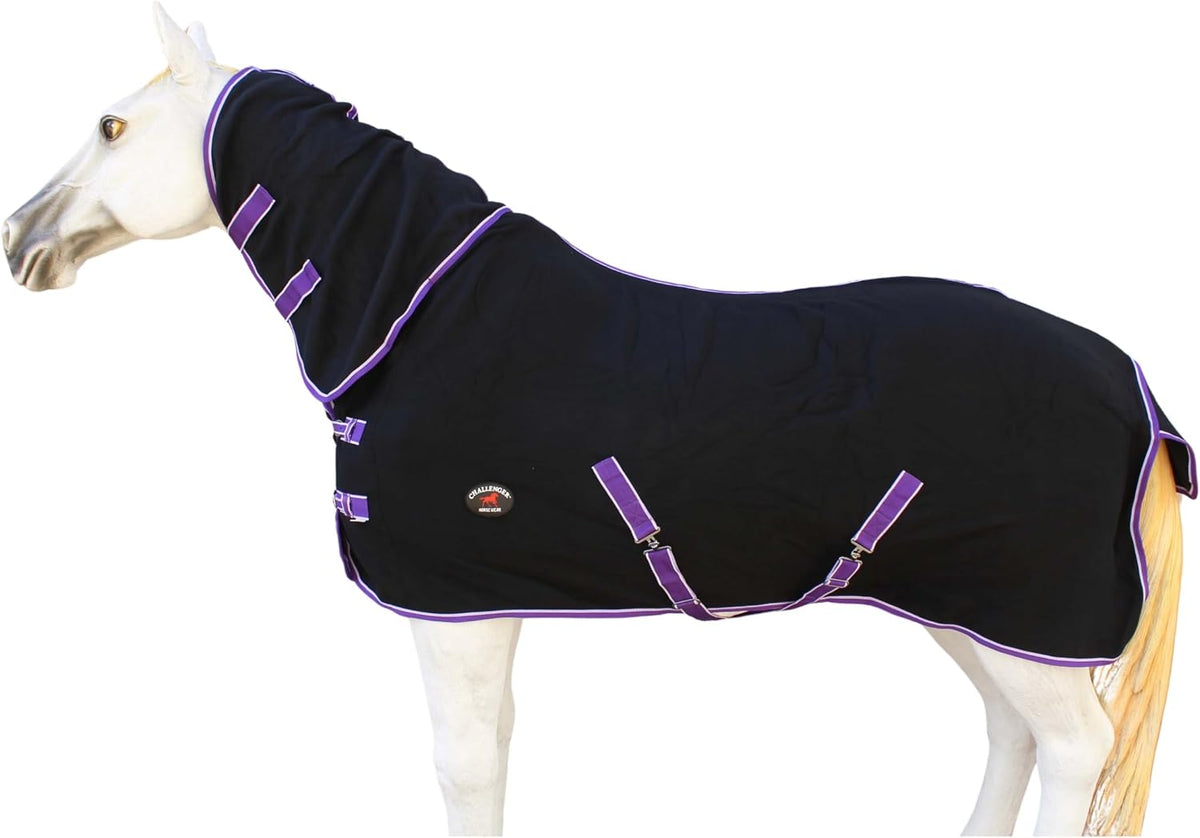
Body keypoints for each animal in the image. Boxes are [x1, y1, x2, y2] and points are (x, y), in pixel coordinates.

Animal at [3, 6, 1192, 836]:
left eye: (111, 124)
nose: (22, 239)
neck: (421, 321)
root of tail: (1134, 385)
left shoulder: (452, 613)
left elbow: (466, 767)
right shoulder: (486, 608)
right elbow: (497, 753)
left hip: (1024, 613)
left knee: (1075, 749)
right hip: (974, 607)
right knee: (1013, 733)